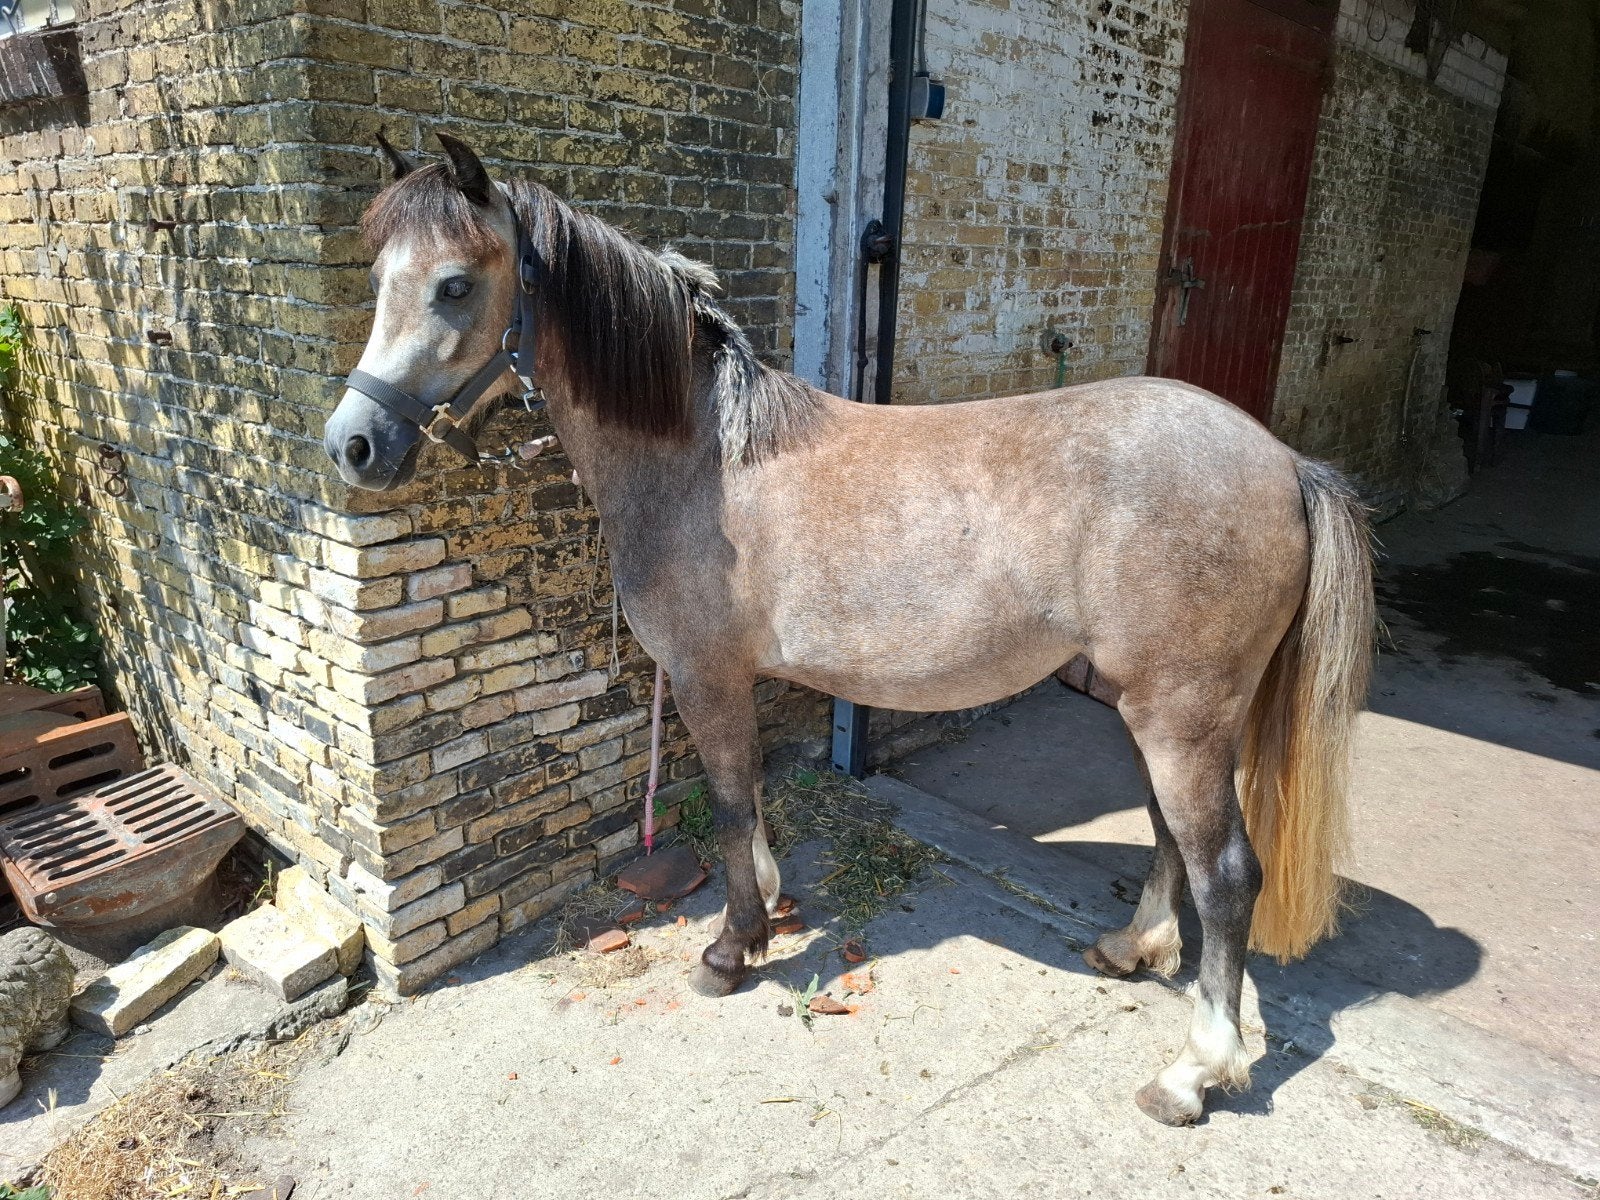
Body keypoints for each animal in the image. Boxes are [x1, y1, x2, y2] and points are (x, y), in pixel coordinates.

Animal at [322, 133, 1375, 1126]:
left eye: (457, 285)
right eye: (379, 280)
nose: (353, 446)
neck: (701, 459)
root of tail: (1285, 463)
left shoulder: (703, 675)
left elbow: (731, 800)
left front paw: (732, 946)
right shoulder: (730, 679)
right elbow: (751, 798)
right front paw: (771, 901)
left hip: (1182, 714)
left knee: (1227, 873)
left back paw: (1194, 1071)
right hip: (1148, 708)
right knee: (1169, 837)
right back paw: (1134, 949)